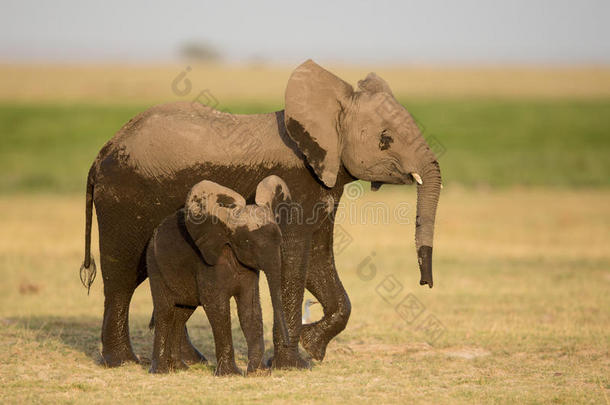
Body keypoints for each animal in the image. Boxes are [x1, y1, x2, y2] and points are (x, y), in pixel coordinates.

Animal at [147, 174, 290, 372]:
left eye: (280, 240)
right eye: (248, 243)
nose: (287, 344)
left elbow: (250, 307)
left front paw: (257, 373)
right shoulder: (208, 264)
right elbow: (217, 306)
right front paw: (231, 374)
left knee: (182, 312)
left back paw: (180, 368)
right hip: (155, 265)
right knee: (165, 311)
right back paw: (160, 371)